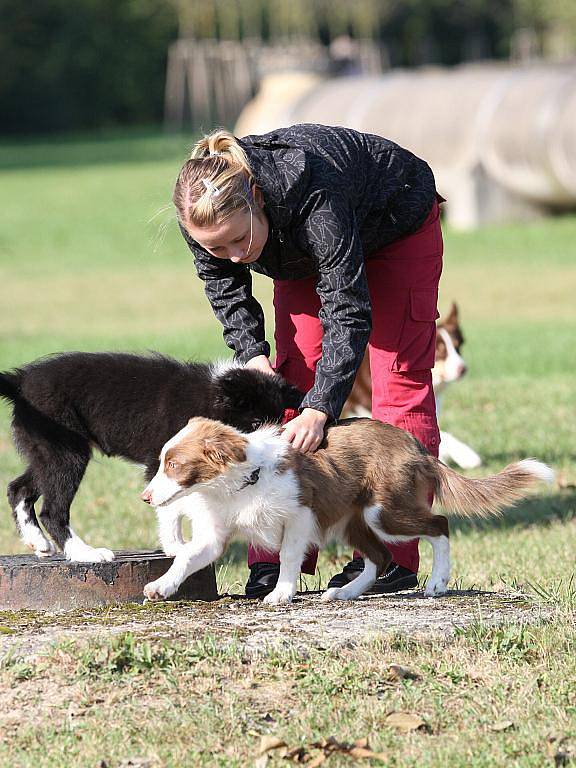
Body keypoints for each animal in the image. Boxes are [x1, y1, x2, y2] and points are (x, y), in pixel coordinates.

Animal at [0, 354, 304, 564]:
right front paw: (176, 546)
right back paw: (86, 553)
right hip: (67, 452)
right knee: (51, 510)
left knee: (18, 488)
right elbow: (171, 506)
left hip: (46, 451)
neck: (210, 397)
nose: (274, 449)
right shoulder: (164, 462)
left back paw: (38, 542)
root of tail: (21, 382)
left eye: (279, 421)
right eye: (255, 422)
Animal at [141, 416, 552, 604]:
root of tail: (418, 448)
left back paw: (437, 582)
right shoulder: (216, 534)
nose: (145, 497)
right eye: (163, 462)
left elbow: (288, 556)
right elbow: (187, 557)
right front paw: (162, 586)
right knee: (380, 556)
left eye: (174, 465)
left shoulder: (300, 516)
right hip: (352, 520)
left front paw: (281, 593)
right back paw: (346, 592)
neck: (240, 482)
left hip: (384, 512)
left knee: (439, 525)